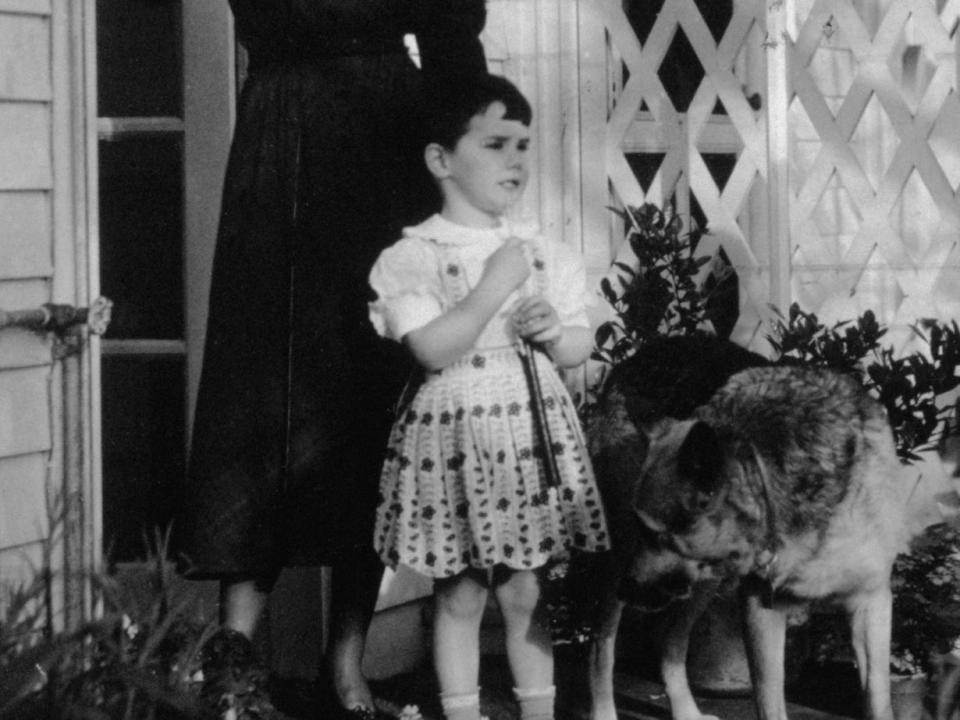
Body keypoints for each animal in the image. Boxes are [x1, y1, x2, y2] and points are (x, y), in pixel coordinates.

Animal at [584, 336, 908, 720]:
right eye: (644, 528)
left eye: (656, 533)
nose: (628, 589)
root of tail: (646, 351)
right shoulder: (761, 610)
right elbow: (770, 704)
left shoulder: (871, 602)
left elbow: (878, 701)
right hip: (622, 560)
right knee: (601, 645)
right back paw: (604, 708)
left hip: (703, 579)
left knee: (671, 643)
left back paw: (685, 710)